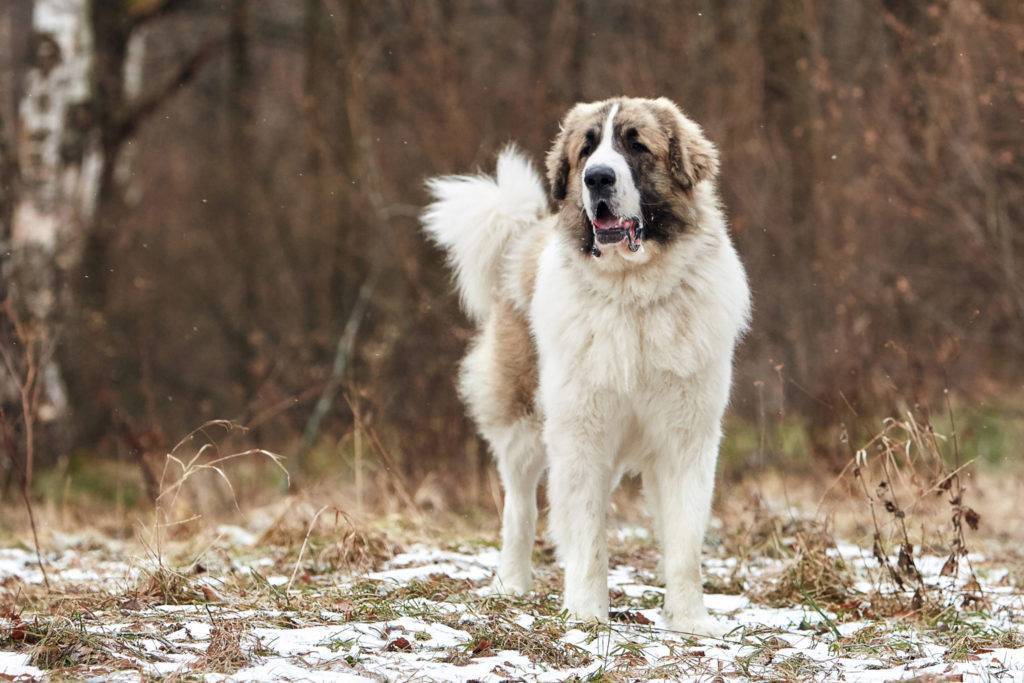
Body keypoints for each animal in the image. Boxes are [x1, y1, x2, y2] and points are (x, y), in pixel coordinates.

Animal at [419, 96, 749, 634]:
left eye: (636, 145)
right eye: (587, 149)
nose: (597, 178)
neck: (634, 294)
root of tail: (525, 236)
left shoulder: (687, 437)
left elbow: (684, 539)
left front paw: (690, 621)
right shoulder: (581, 433)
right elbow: (587, 534)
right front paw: (587, 615)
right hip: (525, 423)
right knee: (520, 507)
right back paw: (510, 584)